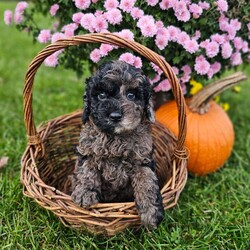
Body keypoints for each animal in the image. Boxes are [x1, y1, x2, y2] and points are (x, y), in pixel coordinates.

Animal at [71, 60, 164, 229]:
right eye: (101, 95)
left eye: (131, 95)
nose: (115, 116)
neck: (115, 138)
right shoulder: (87, 150)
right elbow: (87, 169)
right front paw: (84, 193)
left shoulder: (143, 160)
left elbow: (147, 182)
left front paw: (151, 212)